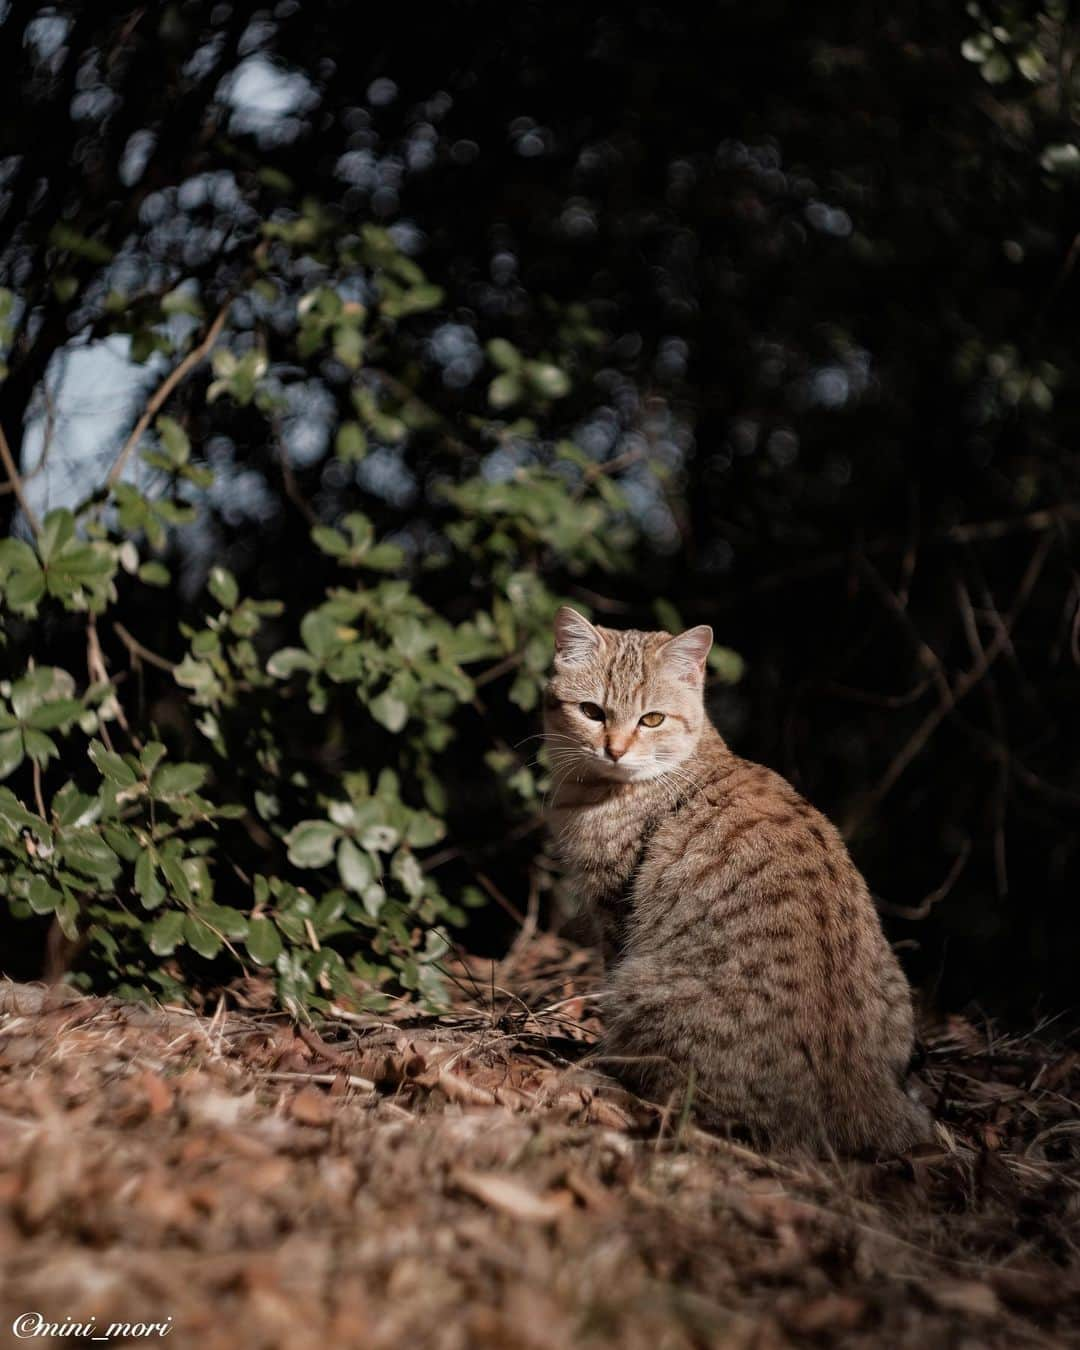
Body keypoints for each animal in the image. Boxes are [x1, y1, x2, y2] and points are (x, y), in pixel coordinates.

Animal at [545, 607, 934, 1155]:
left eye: (652, 719)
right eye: (592, 711)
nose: (615, 750)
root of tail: (861, 1088)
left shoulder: (614, 909)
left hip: (643, 991)